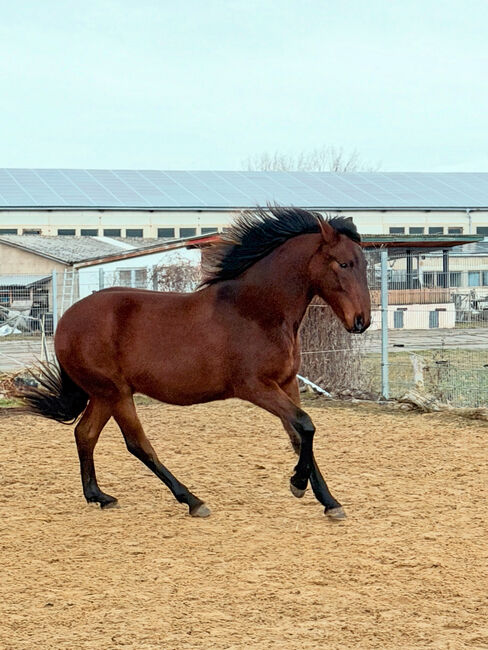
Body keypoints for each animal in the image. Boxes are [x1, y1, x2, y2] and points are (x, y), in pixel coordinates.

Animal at [19, 206, 370, 520]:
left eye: (363, 264)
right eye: (343, 263)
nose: (361, 321)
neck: (256, 311)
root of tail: (65, 321)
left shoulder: (287, 383)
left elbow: (299, 436)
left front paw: (330, 502)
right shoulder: (255, 387)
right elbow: (306, 425)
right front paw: (297, 484)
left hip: (104, 394)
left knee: (85, 434)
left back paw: (98, 496)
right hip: (116, 393)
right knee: (137, 444)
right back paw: (192, 501)